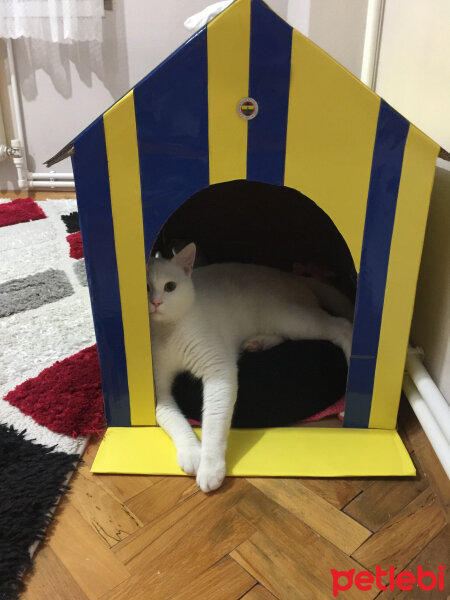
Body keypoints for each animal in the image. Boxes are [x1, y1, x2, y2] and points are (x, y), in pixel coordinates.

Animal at [147, 243, 352, 492]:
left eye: (170, 287)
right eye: (145, 287)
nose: (156, 303)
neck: (168, 331)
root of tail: (292, 276)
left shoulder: (218, 369)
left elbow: (213, 422)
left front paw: (210, 468)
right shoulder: (160, 390)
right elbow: (168, 416)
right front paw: (192, 453)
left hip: (291, 318)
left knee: (342, 326)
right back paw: (257, 343)